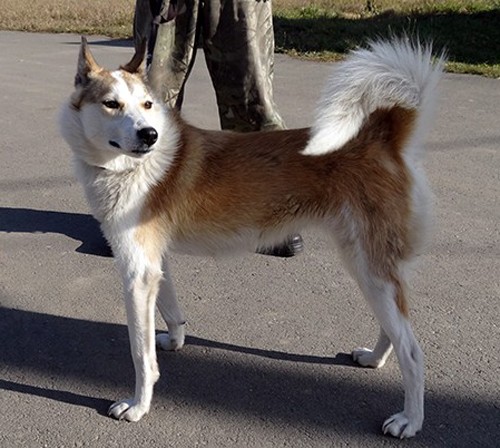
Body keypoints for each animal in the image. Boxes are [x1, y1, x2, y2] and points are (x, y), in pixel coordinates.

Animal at [60, 37, 443, 438]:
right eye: (111, 104)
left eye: (147, 105)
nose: (150, 134)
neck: (131, 167)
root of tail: (382, 137)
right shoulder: (152, 265)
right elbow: (170, 310)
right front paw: (176, 340)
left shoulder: (137, 275)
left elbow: (140, 354)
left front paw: (138, 405)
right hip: (366, 267)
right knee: (395, 329)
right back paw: (374, 358)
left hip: (369, 269)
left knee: (412, 351)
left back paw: (410, 420)